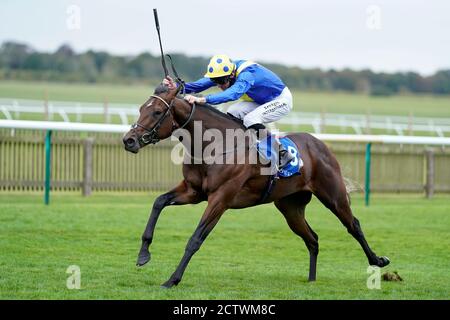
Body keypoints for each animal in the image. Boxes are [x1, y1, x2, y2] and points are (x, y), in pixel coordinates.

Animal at [123, 84, 390, 288]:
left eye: (157, 112)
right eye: (141, 109)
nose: (129, 140)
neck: (215, 146)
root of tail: (320, 144)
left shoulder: (220, 199)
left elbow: (195, 239)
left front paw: (172, 280)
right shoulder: (193, 191)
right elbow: (159, 202)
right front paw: (143, 254)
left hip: (333, 196)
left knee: (353, 225)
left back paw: (378, 261)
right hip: (290, 207)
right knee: (312, 238)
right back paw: (312, 280)